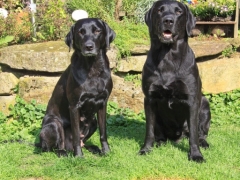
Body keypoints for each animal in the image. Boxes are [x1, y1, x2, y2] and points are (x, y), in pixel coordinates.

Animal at [140, 0, 211, 162]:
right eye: (159, 10)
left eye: (179, 12)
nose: (168, 20)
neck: (168, 57)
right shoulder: (149, 99)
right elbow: (149, 131)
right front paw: (146, 149)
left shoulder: (192, 100)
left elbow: (193, 134)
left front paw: (196, 155)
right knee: (159, 133)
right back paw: (160, 142)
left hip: (204, 104)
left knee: (200, 133)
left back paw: (204, 143)